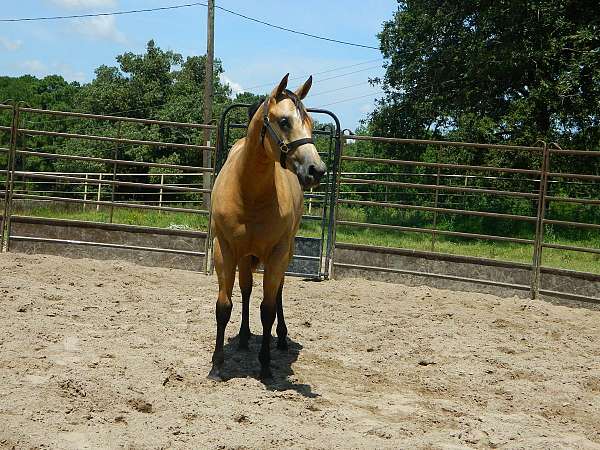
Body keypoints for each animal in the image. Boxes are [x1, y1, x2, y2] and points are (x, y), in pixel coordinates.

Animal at [209, 74, 326, 380]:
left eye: (311, 122)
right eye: (284, 121)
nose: (316, 170)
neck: (248, 191)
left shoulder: (277, 253)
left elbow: (268, 310)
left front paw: (265, 365)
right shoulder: (224, 249)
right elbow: (224, 306)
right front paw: (217, 365)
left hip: (284, 253)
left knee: (278, 291)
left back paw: (281, 338)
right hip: (245, 256)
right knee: (247, 290)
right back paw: (244, 337)